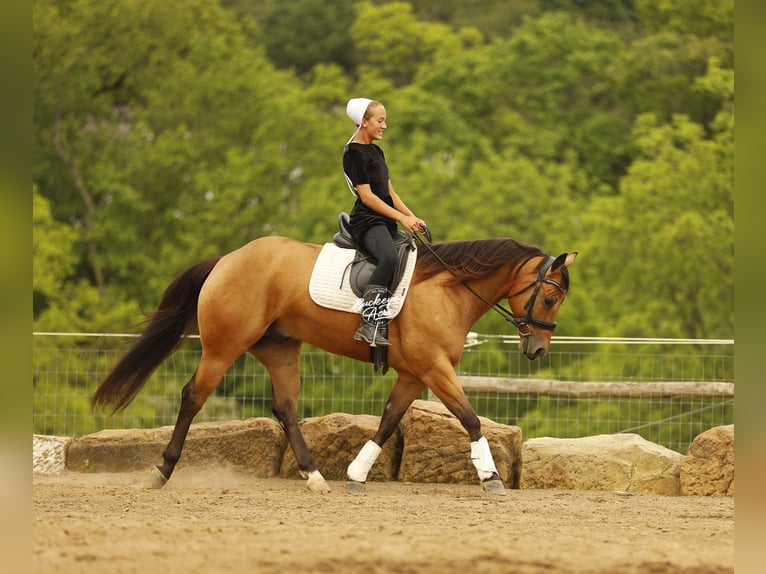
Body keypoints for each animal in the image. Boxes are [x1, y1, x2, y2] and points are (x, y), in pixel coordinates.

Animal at [92, 233, 577, 495]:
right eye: (549, 298)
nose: (537, 350)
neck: (447, 288)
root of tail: (228, 259)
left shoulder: (412, 374)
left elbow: (388, 422)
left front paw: (356, 475)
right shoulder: (434, 368)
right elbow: (470, 418)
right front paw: (490, 476)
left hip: (280, 350)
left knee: (286, 409)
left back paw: (314, 476)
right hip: (224, 346)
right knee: (193, 396)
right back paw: (161, 471)